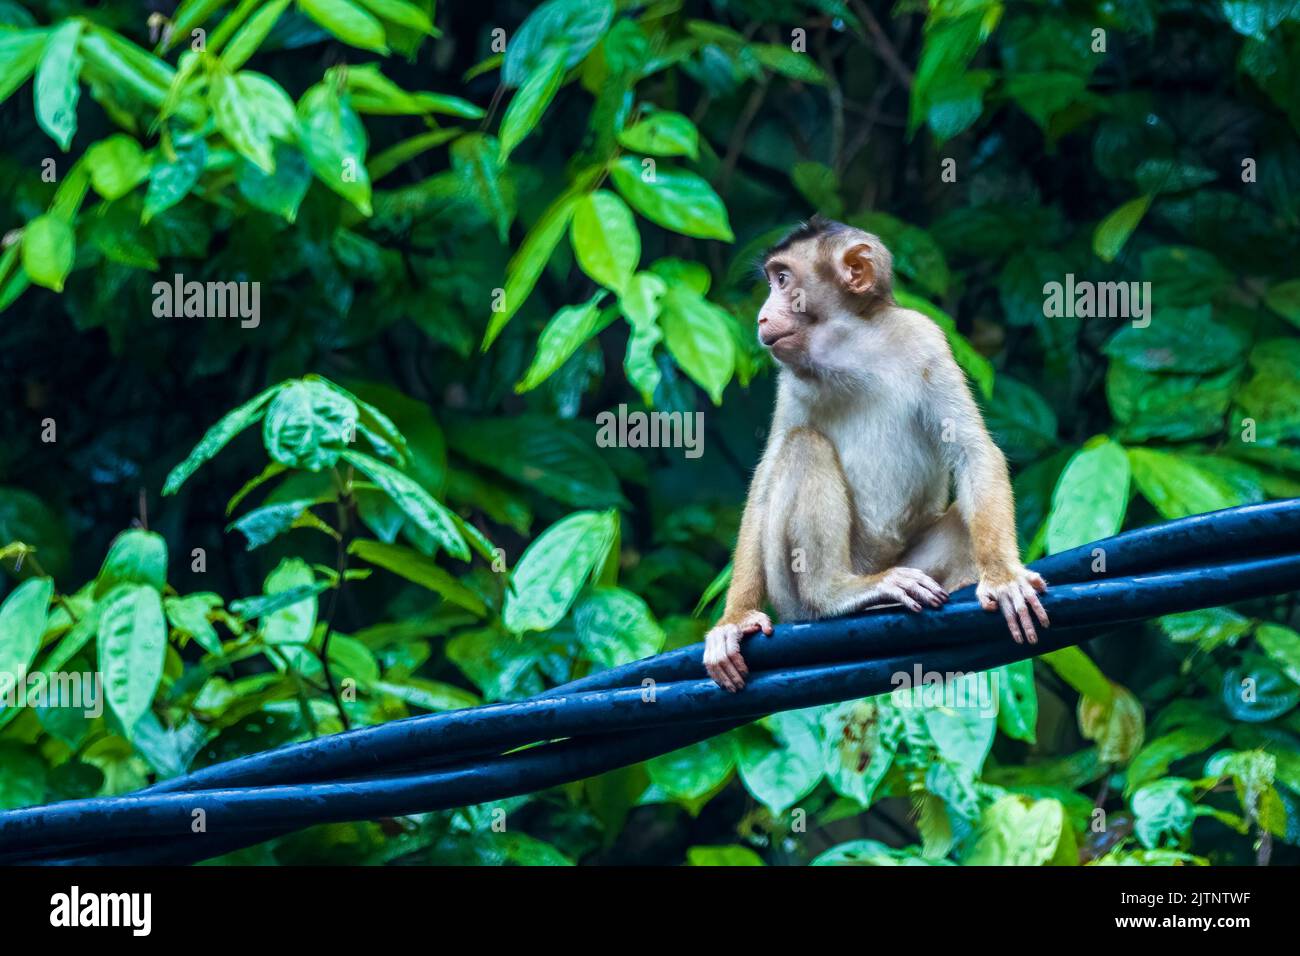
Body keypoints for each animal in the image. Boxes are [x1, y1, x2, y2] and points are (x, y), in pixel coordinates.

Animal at [702, 217, 1045, 691]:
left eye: (782, 279)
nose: (762, 315)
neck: (851, 347)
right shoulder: (790, 378)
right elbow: (766, 478)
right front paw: (734, 620)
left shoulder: (925, 337)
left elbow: (972, 450)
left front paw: (1003, 577)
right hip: (792, 593)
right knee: (804, 446)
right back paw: (835, 593)